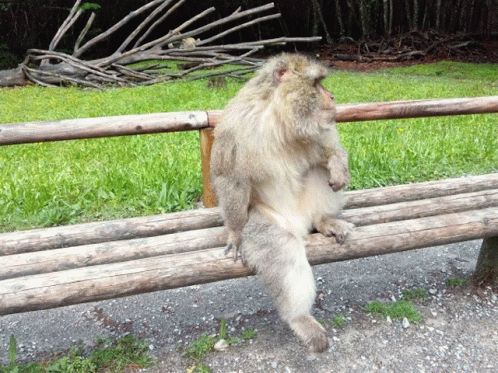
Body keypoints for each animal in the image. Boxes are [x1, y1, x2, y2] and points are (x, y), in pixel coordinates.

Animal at [210, 53, 354, 352]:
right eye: (316, 83)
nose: (332, 96)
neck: (279, 118)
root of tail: (301, 224)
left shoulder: (316, 126)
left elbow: (325, 153)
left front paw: (338, 164)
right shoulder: (238, 125)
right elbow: (230, 178)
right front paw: (234, 232)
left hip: (307, 211)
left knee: (317, 171)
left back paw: (324, 221)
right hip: (269, 220)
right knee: (283, 247)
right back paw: (299, 318)